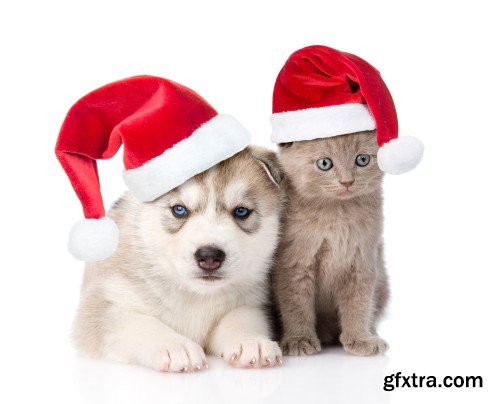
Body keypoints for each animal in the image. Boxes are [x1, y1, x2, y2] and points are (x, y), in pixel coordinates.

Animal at [73, 147, 286, 370]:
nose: (209, 256)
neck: (197, 295)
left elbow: (241, 318)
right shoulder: (103, 304)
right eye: (179, 210)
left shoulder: (253, 302)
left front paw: (251, 341)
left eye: (241, 212)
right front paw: (173, 346)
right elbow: (139, 324)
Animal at [272, 131, 388, 356]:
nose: (347, 181)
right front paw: (300, 340)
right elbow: (296, 305)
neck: (337, 214)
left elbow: (359, 303)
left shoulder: (362, 260)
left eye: (362, 159)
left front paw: (360, 339)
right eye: (325, 163)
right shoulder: (295, 263)